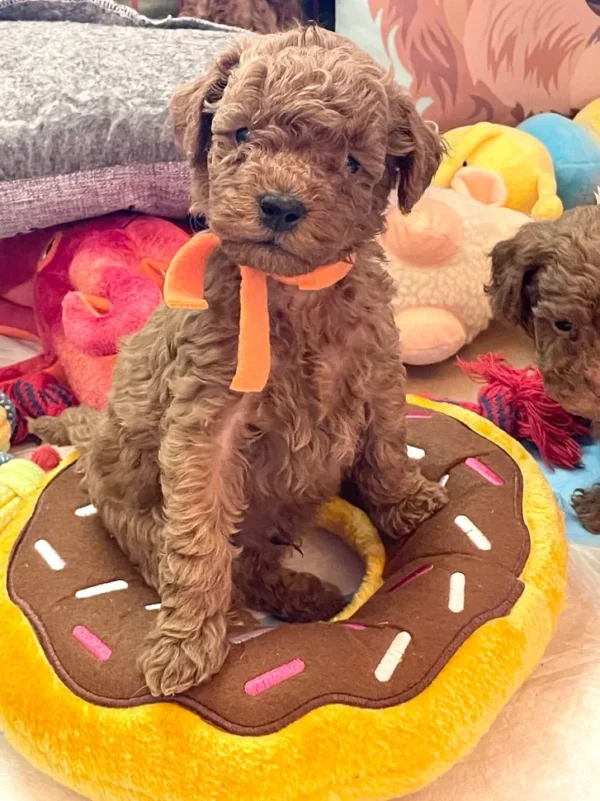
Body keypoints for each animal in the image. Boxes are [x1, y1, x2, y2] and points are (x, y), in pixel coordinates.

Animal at [31, 26, 446, 692]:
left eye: (352, 163)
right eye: (243, 134)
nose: (279, 206)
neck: (292, 291)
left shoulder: (377, 372)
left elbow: (384, 446)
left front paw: (408, 503)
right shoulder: (207, 427)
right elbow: (199, 542)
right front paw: (187, 644)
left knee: (254, 561)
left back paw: (303, 594)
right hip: (136, 521)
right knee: (209, 560)